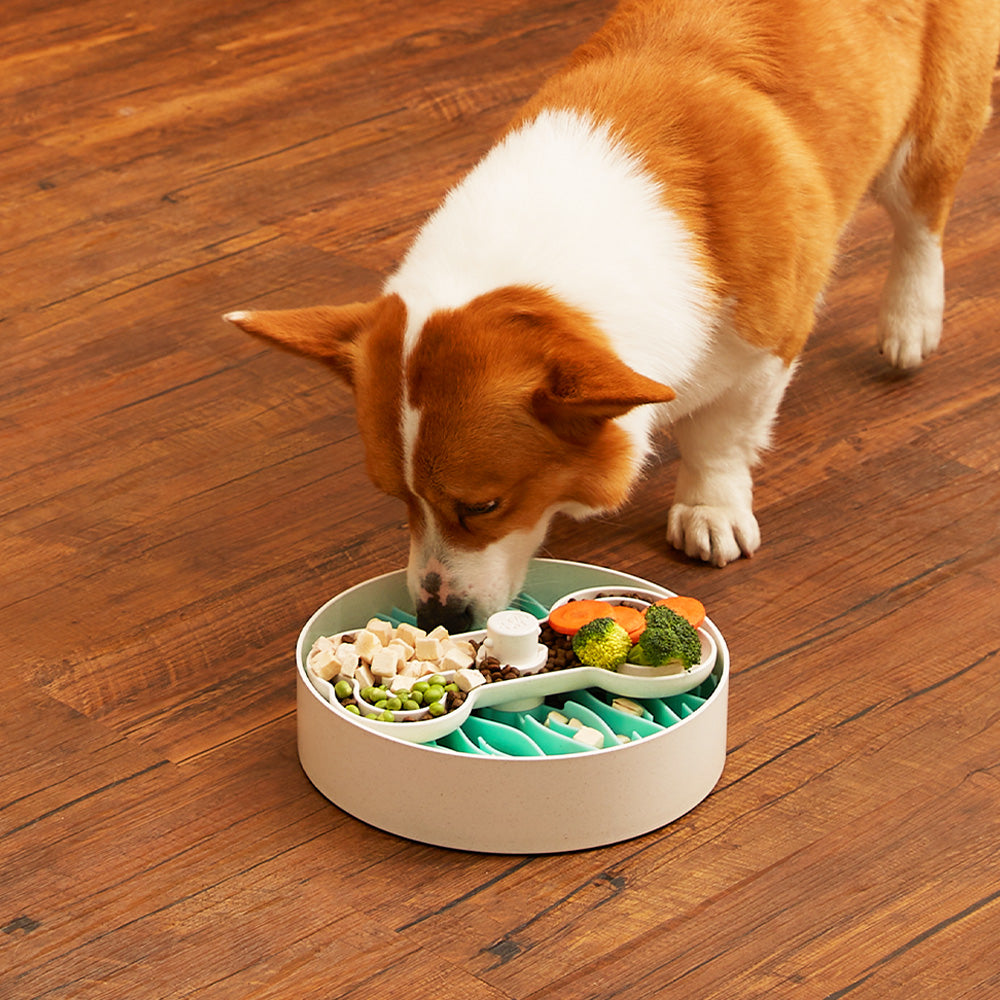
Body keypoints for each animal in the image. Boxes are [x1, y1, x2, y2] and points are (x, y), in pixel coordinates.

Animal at [227, 0, 1000, 628]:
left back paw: (910, 322)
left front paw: (710, 511)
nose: (437, 617)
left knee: (921, 220)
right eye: (396, 498)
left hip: (926, 134)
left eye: (483, 507)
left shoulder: (767, 345)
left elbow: (723, 436)